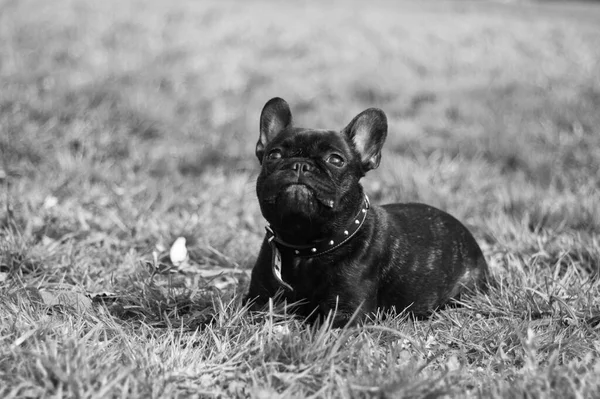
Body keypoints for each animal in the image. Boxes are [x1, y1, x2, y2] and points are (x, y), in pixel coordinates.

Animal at [243, 97, 488, 328]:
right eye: (273, 155)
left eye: (335, 159)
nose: (300, 165)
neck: (305, 246)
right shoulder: (258, 301)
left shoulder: (346, 313)